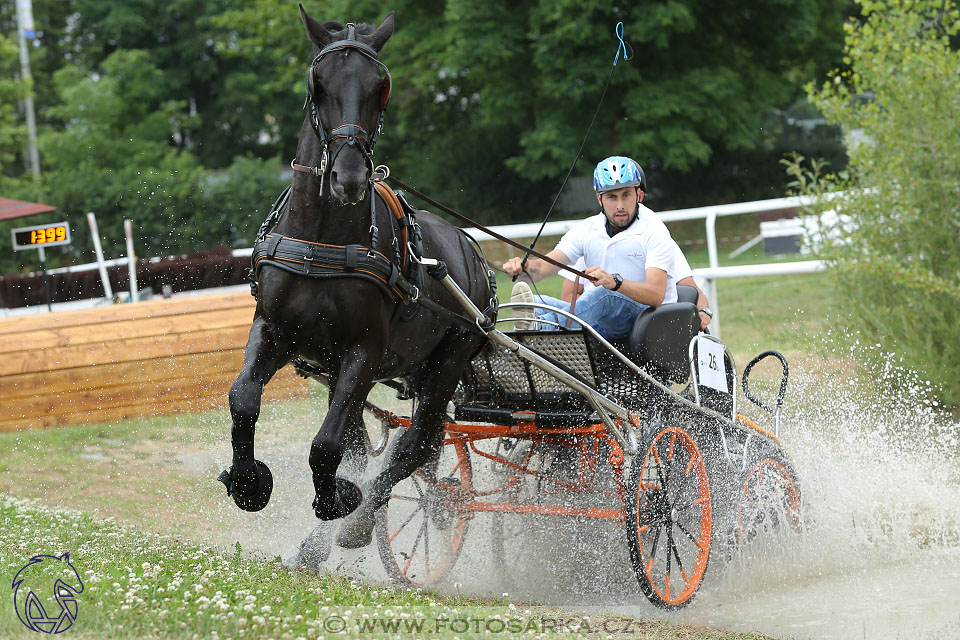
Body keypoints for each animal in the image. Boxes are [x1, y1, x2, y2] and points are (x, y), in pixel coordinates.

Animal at [219, 6, 496, 552]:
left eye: (380, 87)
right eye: (318, 83)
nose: (348, 177)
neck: (323, 240)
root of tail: (471, 252)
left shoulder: (364, 351)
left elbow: (326, 445)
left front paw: (339, 501)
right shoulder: (275, 330)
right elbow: (244, 399)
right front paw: (247, 482)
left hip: (447, 361)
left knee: (412, 446)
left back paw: (358, 522)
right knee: (388, 443)